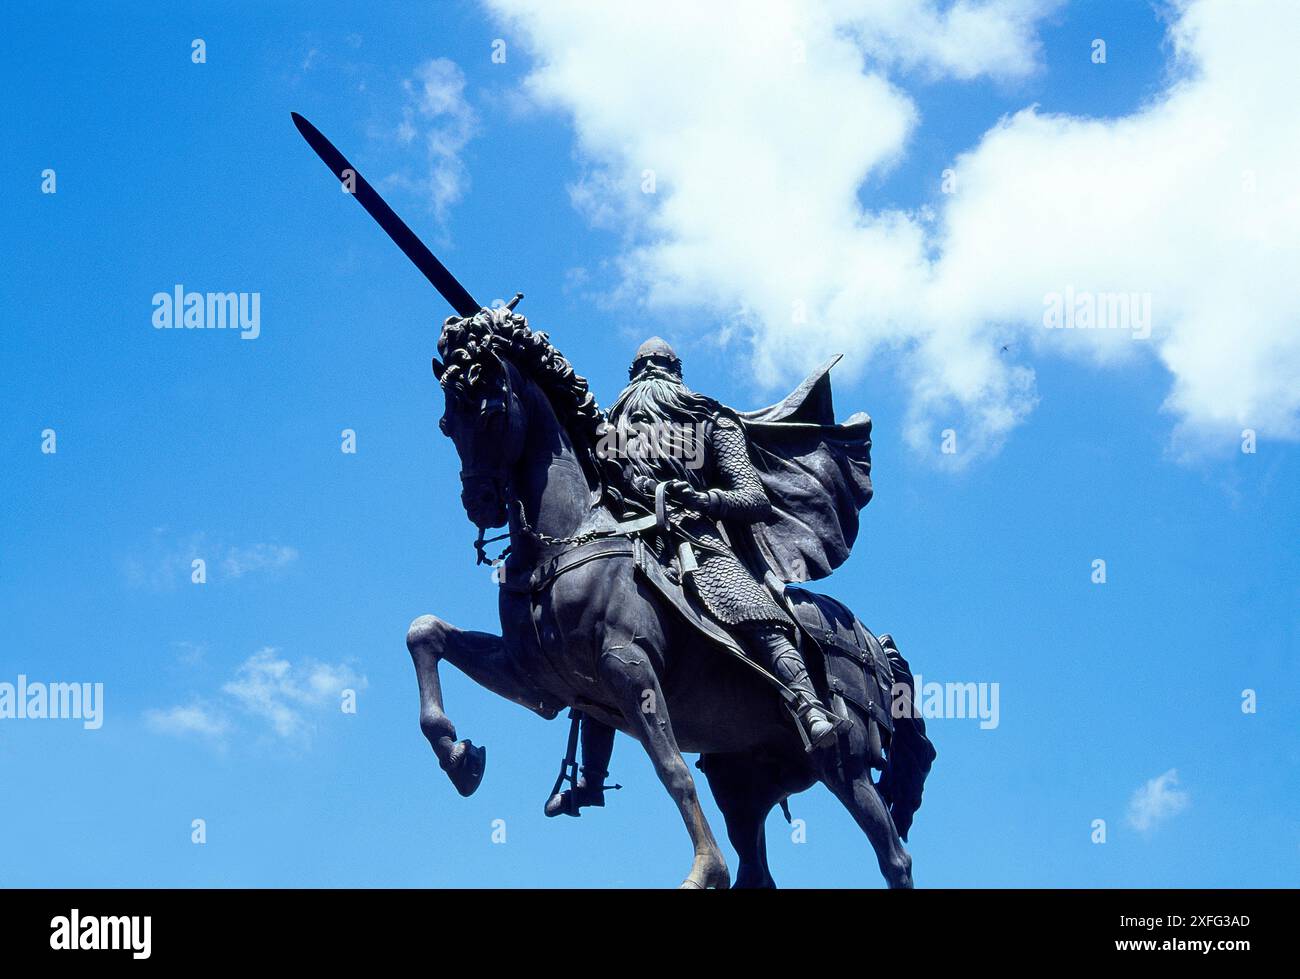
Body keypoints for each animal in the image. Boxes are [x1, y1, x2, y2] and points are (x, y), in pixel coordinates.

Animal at [405, 309, 935, 889]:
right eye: (447, 423)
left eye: (493, 412)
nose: (480, 503)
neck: (566, 540)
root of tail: (874, 644)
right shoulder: (537, 678)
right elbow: (425, 633)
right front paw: (458, 755)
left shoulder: (629, 666)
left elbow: (673, 770)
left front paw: (704, 870)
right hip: (745, 780)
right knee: (759, 868)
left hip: (845, 763)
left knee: (894, 856)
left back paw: (818, 721)